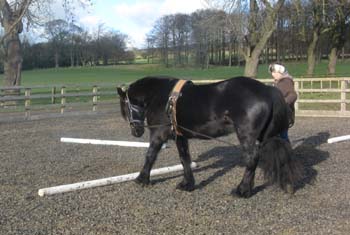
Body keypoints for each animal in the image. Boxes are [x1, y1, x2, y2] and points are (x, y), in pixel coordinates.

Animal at [117, 76, 300, 197]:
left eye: (125, 107)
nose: (136, 131)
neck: (161, 96)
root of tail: (267, 90)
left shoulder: (158, 133)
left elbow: (150, 155)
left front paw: (141, 179)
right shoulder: (180, 136)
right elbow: (184, 159)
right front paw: (187, 184)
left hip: (246, 135)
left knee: (252, 158)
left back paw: (242, 190)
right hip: (268, 136)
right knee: (282, 152)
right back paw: (287, 185)